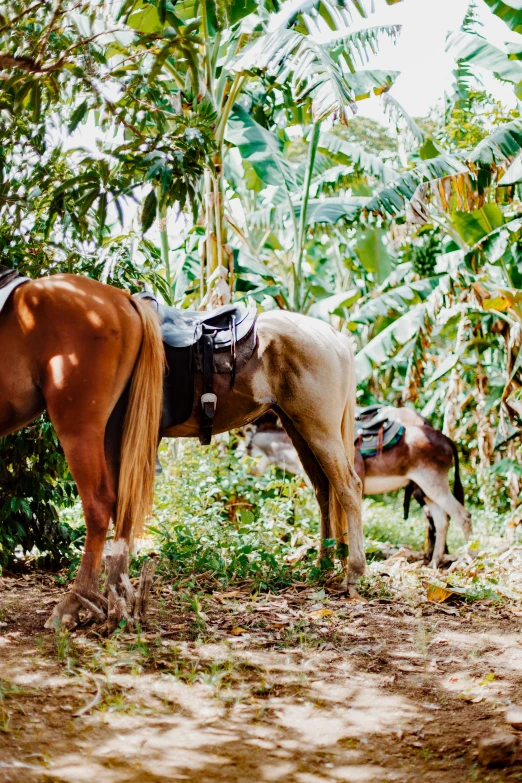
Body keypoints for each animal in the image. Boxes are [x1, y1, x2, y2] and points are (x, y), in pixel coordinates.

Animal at [3, 276, 362, 624]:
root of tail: (335, 338)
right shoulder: (116, 436)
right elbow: (121, 505)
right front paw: (112, 598)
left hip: (319, 427)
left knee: (348, 487)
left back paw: (354, 573)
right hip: (296, 425)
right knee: (323, 489)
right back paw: (324, 564)